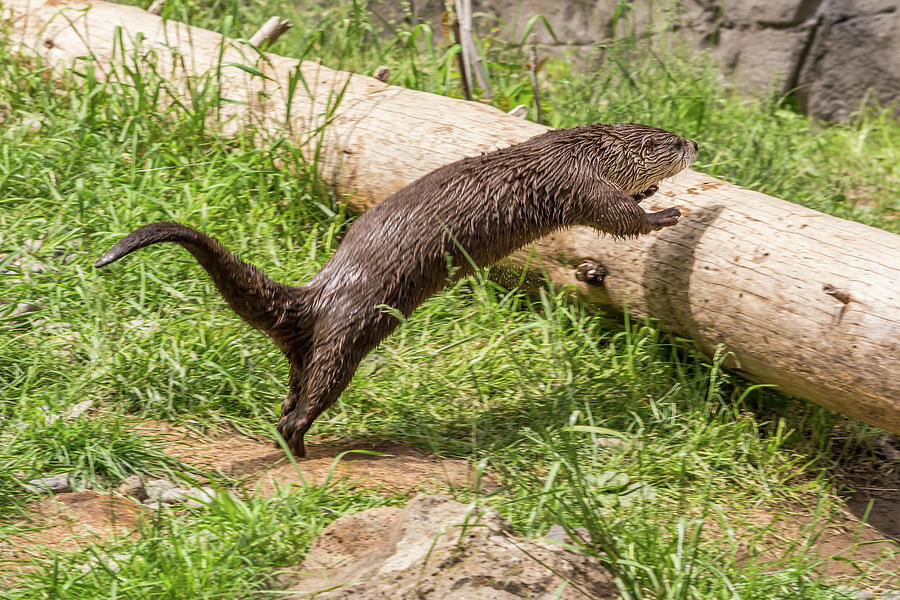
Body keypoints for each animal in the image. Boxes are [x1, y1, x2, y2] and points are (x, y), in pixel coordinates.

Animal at [95, 124, 700, 458]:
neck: (579, 151)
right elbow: (618, 219)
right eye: (672, 142)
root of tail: (313, 296)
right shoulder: (582, 185)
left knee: (290, 393)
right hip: (347, 339)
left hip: (304, 353)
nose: (696, 141)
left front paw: (652, 193)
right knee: (307, 404)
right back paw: (300, 450)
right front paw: (667, 212)